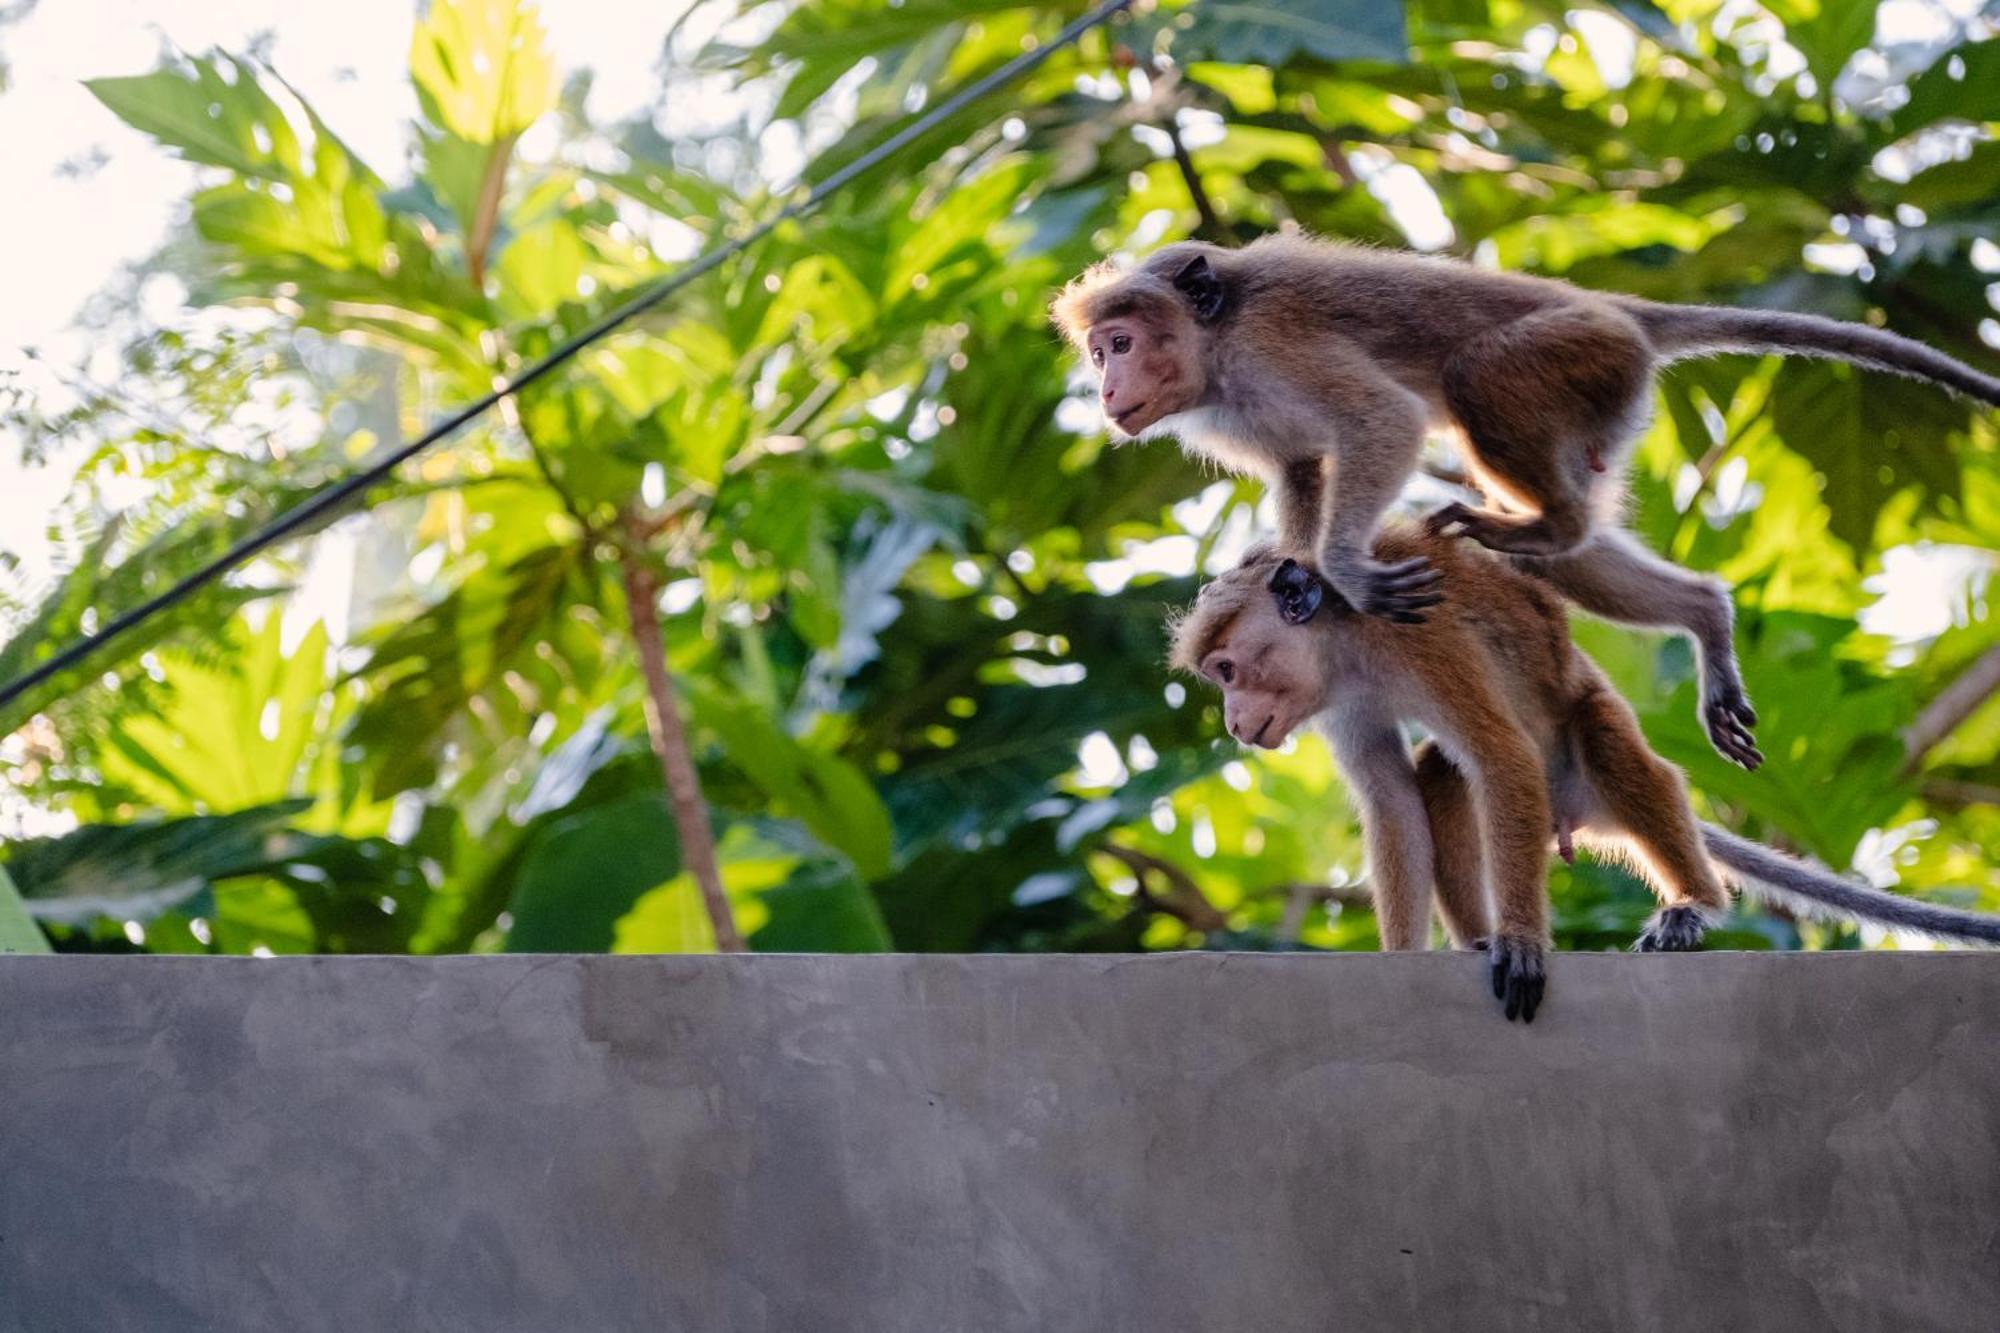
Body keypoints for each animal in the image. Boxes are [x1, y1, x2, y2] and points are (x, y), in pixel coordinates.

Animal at [1056, 228, 2000, 768]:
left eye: (1122, 344)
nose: (1106, 389)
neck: (1218, 346)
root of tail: (1620, 311)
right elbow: (1301, 468)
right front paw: (1298, 570)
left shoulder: (1271, 346)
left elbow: (1381, 420)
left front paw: (1340, 571)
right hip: (1604, 400)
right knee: (1588, 550)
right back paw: (1696, 610)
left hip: (1575, 352)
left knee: (1476, 375)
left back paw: (1547, 522)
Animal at [1168, 524, 2000, 1020]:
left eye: (1229, 670)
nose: (1235, 723)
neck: (1346, 634)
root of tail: (1573, 815)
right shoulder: (1340, 693)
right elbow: (1394, 798)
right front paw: (1406, 958)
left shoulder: (1420, 639)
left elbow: (1500, 755)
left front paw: (1523, 944)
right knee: (1442, 774)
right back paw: (1476, 935)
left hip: (1581, 754)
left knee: (1596, 745)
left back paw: (1695, 902)